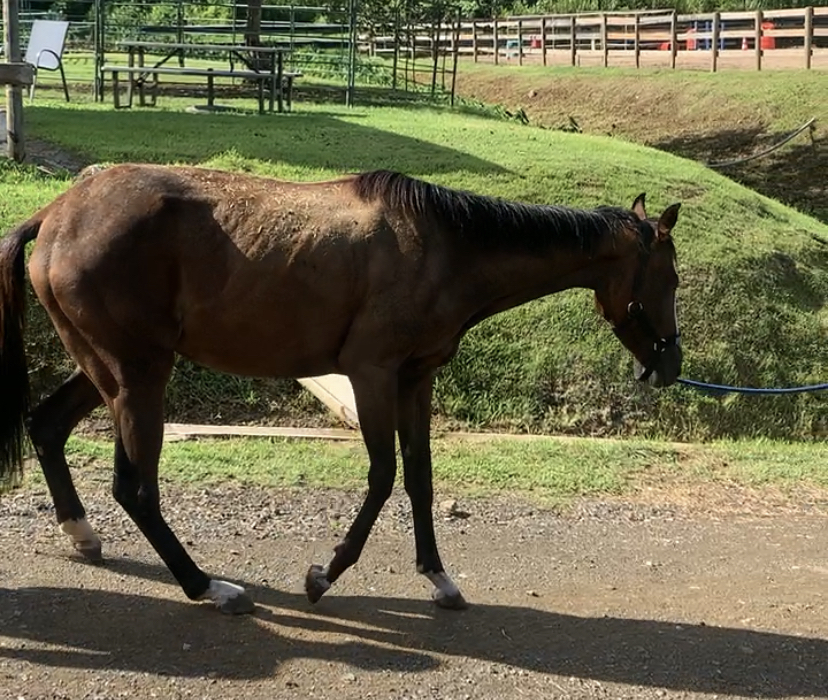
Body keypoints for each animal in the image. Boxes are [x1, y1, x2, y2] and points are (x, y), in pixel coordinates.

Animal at [0, 164, 682, 614]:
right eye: (670, 278)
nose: (671, 366)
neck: (442, 247)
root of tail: (57, 213)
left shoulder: (416, 378)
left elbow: (420, 478)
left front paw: (439, 578)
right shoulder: (372, 373)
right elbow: (382, 476)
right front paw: (324, 574)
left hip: (111, 372)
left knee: (49, 426)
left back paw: (83, 534)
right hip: (140, 375)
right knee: (136, 488)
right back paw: (206, 586)